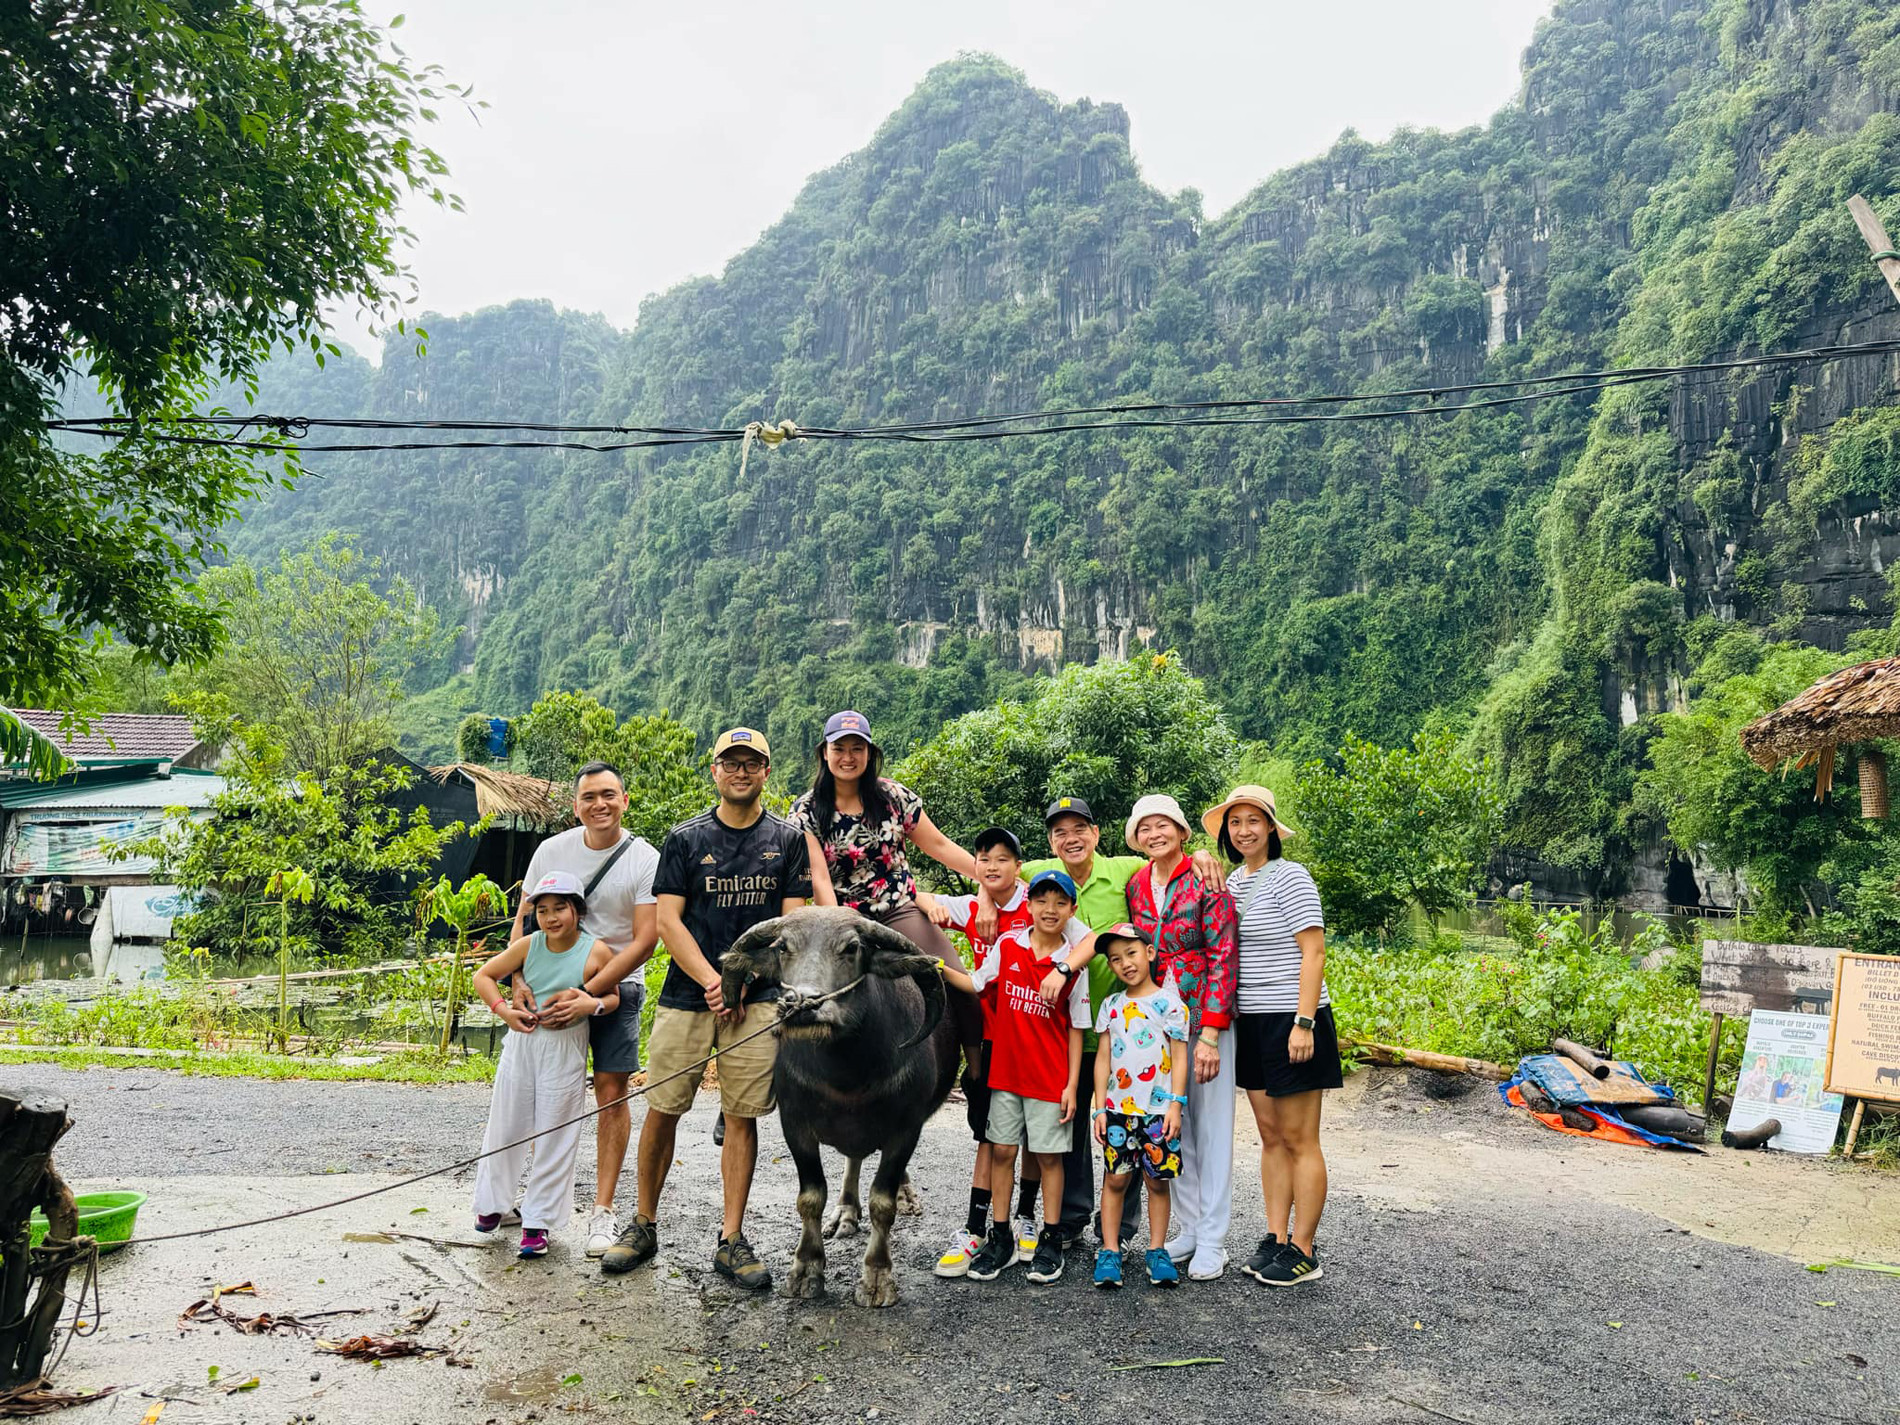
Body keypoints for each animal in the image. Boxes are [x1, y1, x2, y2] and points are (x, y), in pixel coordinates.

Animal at [725, 915, 965, 1307]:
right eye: (782, 947)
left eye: (851, 948)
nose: (802, 1003)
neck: (846, 1074)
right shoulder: (795, 1124)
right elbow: (810, 1198)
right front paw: (805, 1270)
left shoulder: (906, 1129)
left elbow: (882, 1203)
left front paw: (877, 1278)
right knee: (853, 1160)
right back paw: (846, 1211)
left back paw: (904, 1195)